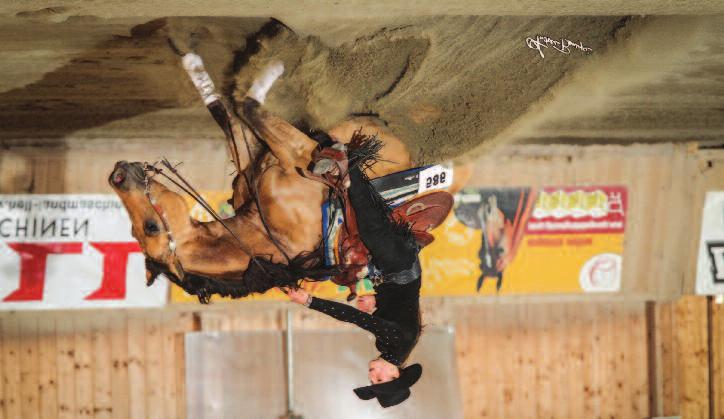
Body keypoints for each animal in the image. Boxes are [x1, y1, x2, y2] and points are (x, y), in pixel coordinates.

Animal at [109, 51, 470, 302]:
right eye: (150, 227)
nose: (117, 175)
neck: (261, 231)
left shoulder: (256, 159)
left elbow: (230, 114)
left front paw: (196, 67)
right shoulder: (294, 152)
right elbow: (248, 107)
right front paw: (272, 70)